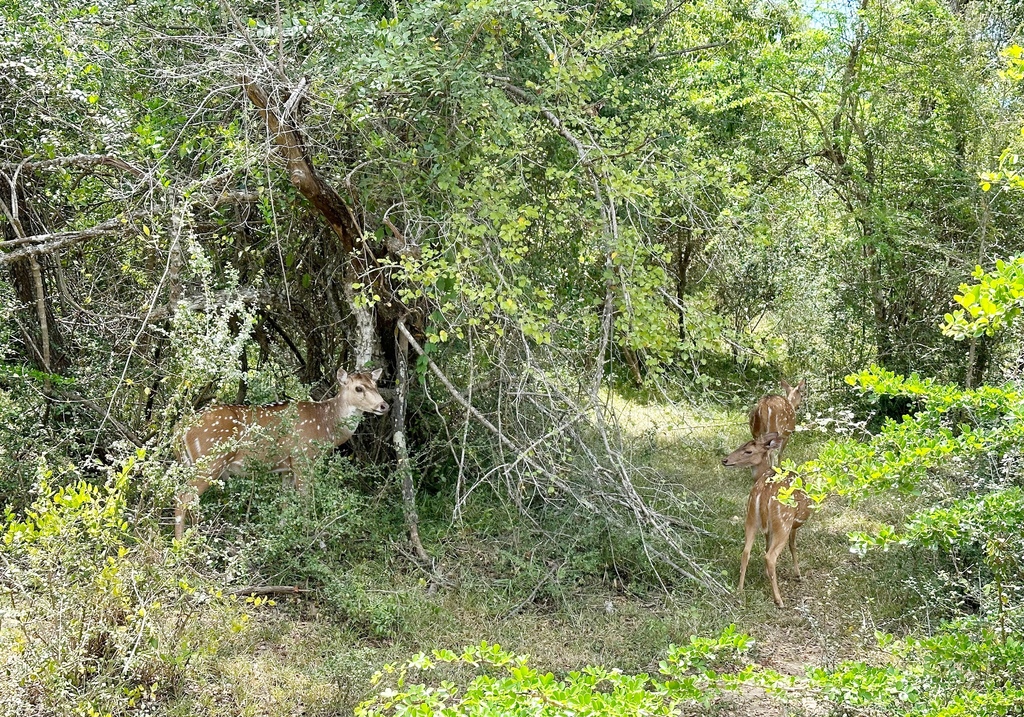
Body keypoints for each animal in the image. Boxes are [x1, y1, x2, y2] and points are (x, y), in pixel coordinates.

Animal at [175, 368, 387, 536]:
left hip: (191, 462)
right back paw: (184, 543)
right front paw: (308, 535)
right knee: (183, 497)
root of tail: (180, 429)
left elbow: (285, 501)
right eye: (359, 388)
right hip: (211, 461)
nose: (384, 406)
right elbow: (304, 500)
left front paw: (282, 530)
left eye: (375, 385)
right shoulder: (303, 458)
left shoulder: (287, 466)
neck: (326, 426)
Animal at [724, 428, 811, 606]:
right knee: (770, 556)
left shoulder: (767, 527)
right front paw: (798, 574)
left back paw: (740, 589)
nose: (725, 460)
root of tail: (763, 492)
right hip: (784, 521)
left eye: (748, 450)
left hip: (750, 516)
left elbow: (765, 544)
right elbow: (793, 546)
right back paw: (779, 600)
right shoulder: (794, 524)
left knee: (746, 551)